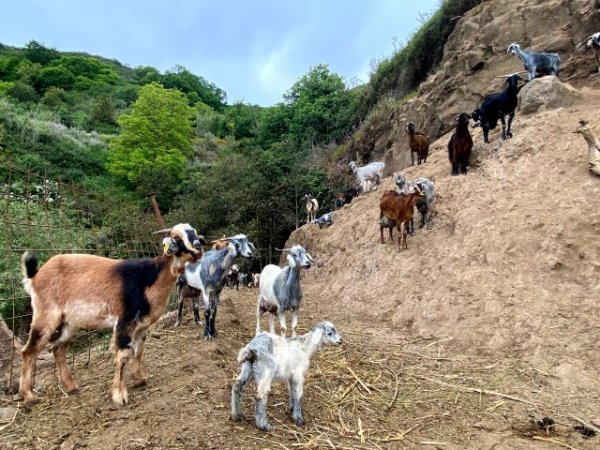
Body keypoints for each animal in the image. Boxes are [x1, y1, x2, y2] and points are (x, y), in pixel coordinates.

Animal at [19, 223, 206, 406]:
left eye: (195, 233)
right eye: (177, 238)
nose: (198, 247)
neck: (150, 277)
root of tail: (35, 277)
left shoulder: (141, 325)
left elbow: (138, 351)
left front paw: (139, 380)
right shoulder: (125, 320)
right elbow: (123, 355)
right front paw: (119, 396)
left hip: (69, 323)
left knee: (58, 348)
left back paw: (71, 387)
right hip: (46, 314)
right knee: (29, 350)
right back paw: (29, 397)